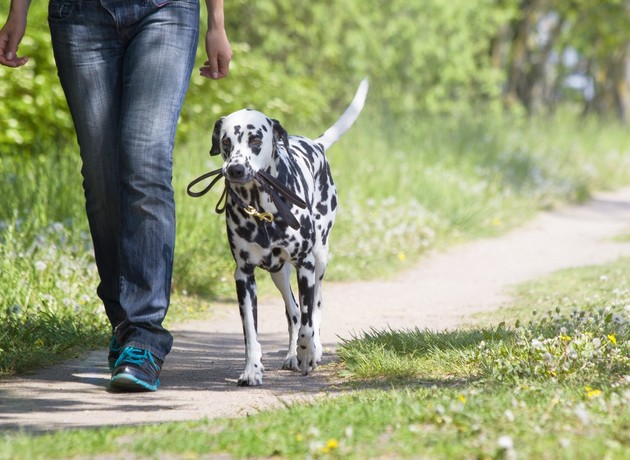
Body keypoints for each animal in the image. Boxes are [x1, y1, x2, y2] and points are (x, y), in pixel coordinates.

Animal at [209, 79, 366, 384]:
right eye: (225, 141)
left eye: (255, 140)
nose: (235, 169)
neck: (262, 210)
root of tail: (315, 144)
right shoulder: (243, 276)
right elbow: (251, 333)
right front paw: (252, 369)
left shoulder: (305, 265)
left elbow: (308, 323)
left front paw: (309, 353)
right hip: (278, 272)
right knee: (293, 311)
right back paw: (293, 354)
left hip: (319, 259)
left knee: (314, 309)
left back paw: (311, 350)